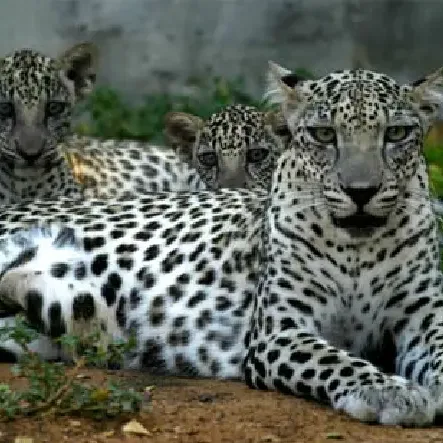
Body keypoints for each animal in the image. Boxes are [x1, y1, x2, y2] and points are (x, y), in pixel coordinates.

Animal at [0, 60, 443, 428]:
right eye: (324, 134)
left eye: (396, 133)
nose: (361, 191)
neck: (358, 251)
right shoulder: (279, 332)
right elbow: (334, 359)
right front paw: (390, 392)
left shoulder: (424, 319)